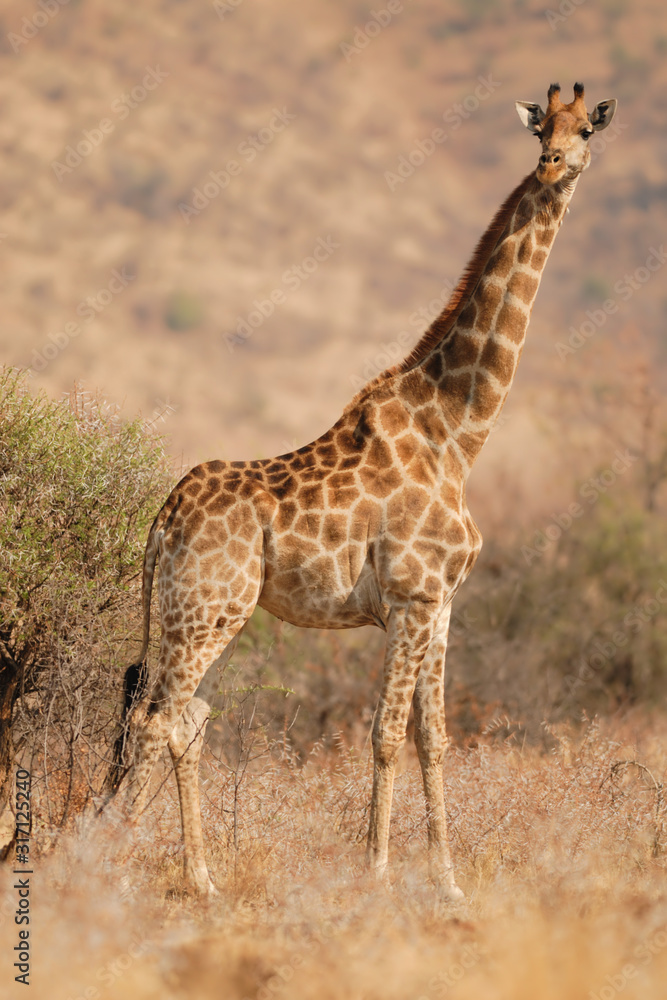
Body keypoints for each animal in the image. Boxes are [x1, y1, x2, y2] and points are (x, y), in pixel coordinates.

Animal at [108, 84, 616, 900]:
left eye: (584, 130)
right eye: (542, 128)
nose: (553, 163)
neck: (458, 431)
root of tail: (161, 521)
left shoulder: (441, 604)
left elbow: (432, 735)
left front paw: (446, 881)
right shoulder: (409, 598)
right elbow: (382, 734)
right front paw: (376, 871)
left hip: (198, 612)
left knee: (182, 718)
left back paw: (195, 874)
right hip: (207, 610)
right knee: (163, 718)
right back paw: (133, 872)